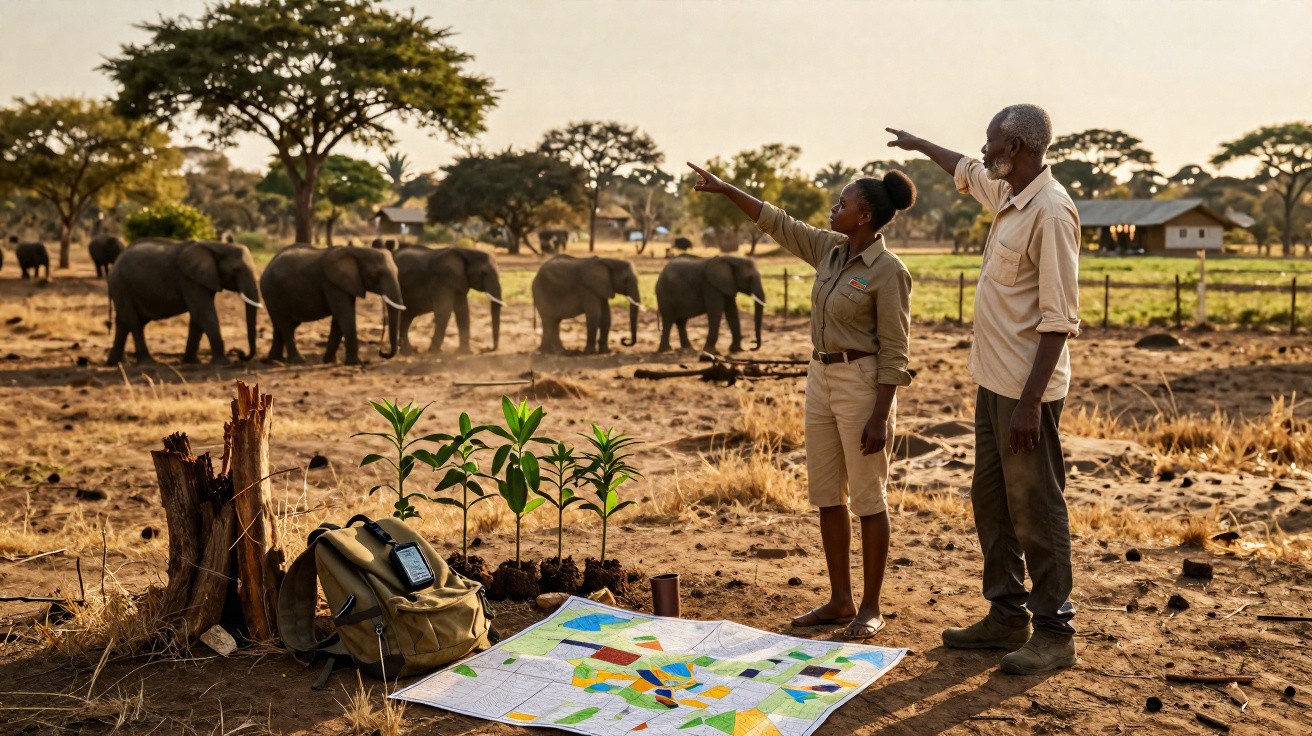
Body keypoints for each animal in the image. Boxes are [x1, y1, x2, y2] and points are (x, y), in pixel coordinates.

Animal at [107, 238, 263, 365]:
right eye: (236, 270)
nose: (239, 353)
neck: (217, 246)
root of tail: (115, 263)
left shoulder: (203, 279)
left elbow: (198, 317)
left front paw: (193, 361)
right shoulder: (189, 279)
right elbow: (204, 313)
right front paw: (223, 363)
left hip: (122, 287)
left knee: (123, 323)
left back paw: (116, 363)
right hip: (121, 285)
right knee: (134, 323)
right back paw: (147, 363)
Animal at [261, 245, 405, 365]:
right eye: (375, 274)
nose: (382, 353)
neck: (357, 251)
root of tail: (266, 267)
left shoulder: (347, 284)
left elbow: (339, 319)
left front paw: (330, 361)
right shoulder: (332, 284)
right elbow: (345, 315)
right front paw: (356, 363)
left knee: (279, 326)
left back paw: (275, 360)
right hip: (273, 292)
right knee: (286, 325)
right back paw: (298, 361)